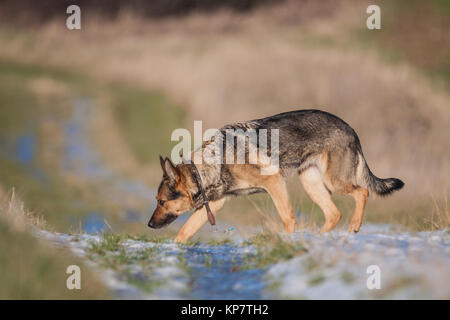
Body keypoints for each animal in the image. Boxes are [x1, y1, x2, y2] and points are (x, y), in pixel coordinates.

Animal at [149, 110, 404, 242]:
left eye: (161, 202)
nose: (149, 225)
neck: (209, 166)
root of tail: (351, 130)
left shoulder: (273, 182)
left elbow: (287, 217)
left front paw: (288, 240)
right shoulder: (216, 204)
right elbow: (185, 230)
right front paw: (174, 249)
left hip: (335, 182)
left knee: (363, 192)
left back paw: (354, 226)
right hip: (311, 183)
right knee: (334, 213)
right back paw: (319, 237)